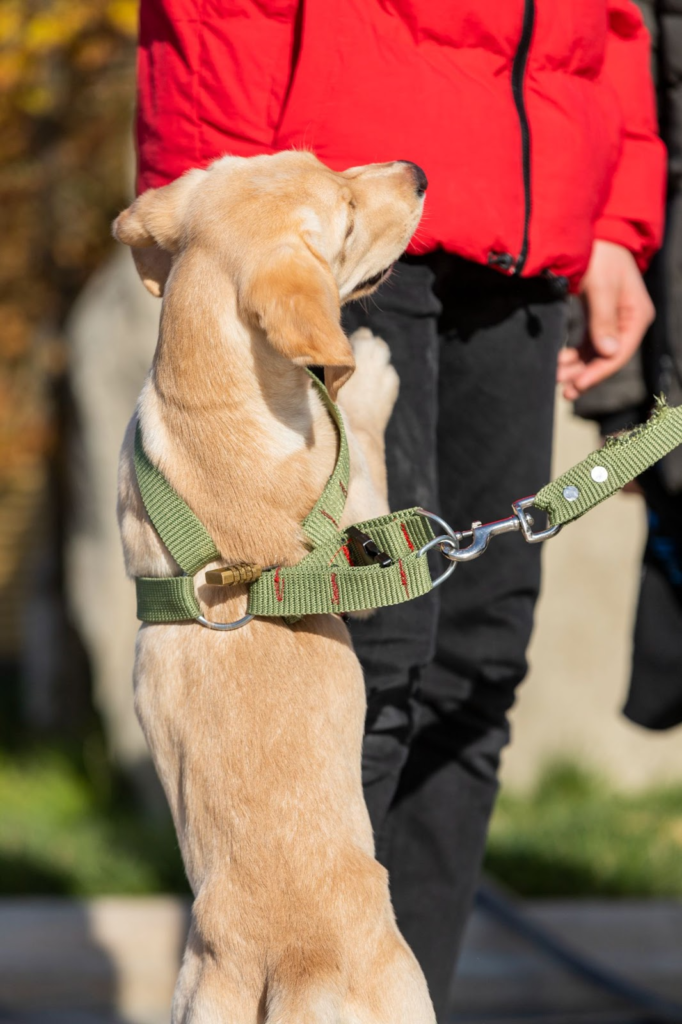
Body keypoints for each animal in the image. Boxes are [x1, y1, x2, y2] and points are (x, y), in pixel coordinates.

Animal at [111, 151, 430, 1024]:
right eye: (346, 217)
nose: (418, 172)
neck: (210, 404)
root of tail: (293, 962)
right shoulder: (363, 508)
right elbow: (363, 437)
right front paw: (368, 374)